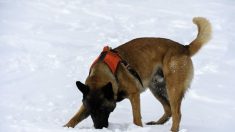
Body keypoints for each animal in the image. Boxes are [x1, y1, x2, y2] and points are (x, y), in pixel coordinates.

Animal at [63, 17, 211, 131]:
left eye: (103, 109)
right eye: (90, 111)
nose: (99, 128)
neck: (108, 72)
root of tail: (184, 47)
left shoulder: (134, 94)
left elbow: (136, 118)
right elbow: (75, 118)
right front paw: (65, 127)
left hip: (172, 88)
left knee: (176, 114)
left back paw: (172, 130)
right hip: (156, 88)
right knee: (168, 110)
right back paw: (156, 123)